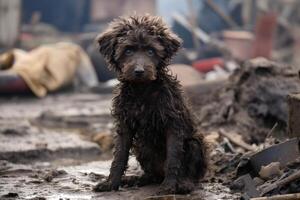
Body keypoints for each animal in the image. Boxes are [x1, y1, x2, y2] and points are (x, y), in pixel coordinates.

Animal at [93, 15, 206, 195]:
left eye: (151, 51)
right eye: (128, 51)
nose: (139, 71)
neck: (142, 89)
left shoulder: (173, 124)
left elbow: (173, 157)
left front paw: (169, 186)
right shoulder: (124, 124)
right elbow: (119, 155)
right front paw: (111, 183)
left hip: (194, 144)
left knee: (191, 172)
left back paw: (184, 183)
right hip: (142, 148)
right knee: (152, 175)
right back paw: (136, 179)